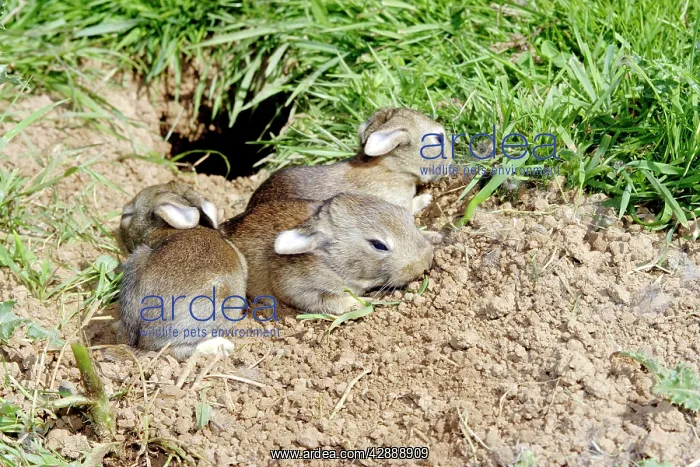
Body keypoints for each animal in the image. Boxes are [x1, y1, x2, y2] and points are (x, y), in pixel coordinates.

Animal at [220, 193, 434, 315]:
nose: (425, 262)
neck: (331, 261)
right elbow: (328, 301)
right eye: (378, 245)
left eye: (405, 217)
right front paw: (367, 302)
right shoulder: (298, 289)